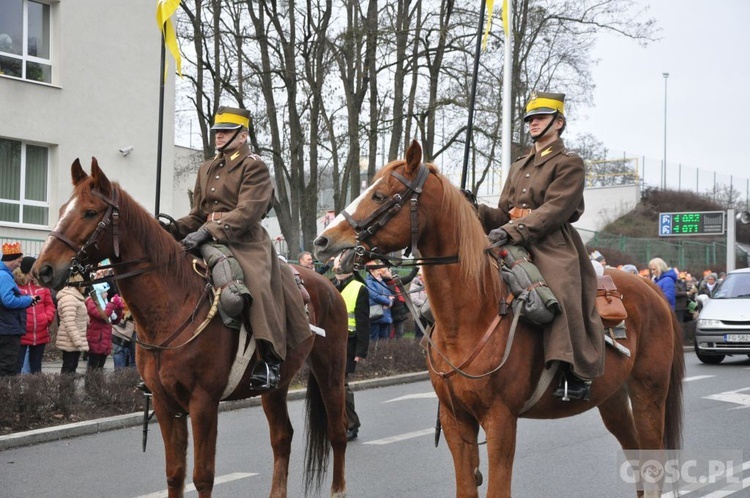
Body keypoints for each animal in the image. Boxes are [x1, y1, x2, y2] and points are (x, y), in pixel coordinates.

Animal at [33, 160, 352, 498]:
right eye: (63, 209)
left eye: (90, 212)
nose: (43, 269)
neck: (172, 307)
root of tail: (329, 286)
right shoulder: (164, 404)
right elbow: (175, 473)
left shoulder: (203, 403)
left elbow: (202, 475)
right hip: (275, 388)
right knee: (282, 437)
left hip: (330, 370)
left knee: (337, 431)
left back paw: (338, 489)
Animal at [314, 140, 684, 498]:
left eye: (379, 195)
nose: (322, 241)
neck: (470, 316)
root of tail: (652, 289)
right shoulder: (456, 421)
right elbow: (466, 487)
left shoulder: (501, 421)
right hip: (613, 399)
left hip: (648, 394)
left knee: (653, 466)